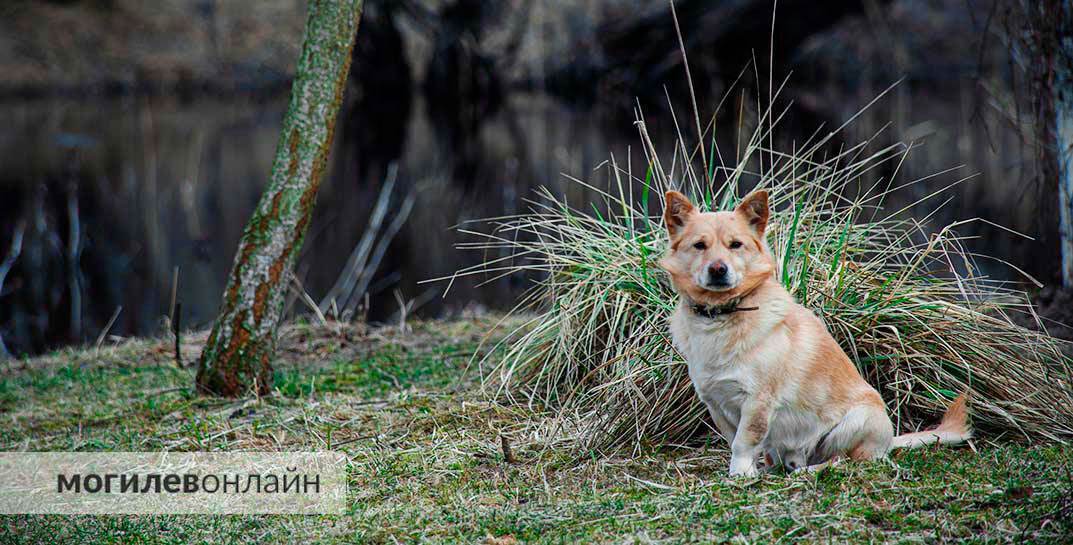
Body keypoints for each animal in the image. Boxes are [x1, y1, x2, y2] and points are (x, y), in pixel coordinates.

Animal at [656, 189, 969, 474]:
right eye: (699, 245)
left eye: (736, 245)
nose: (718, 269)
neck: (722, 315)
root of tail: (889, 441)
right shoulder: (716, 404)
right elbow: (735, 440)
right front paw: (748, 471)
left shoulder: (757, 402)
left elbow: (743, 443)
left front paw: (740, 475)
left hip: (855, 421)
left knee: (843, 460)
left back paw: (808, 471)